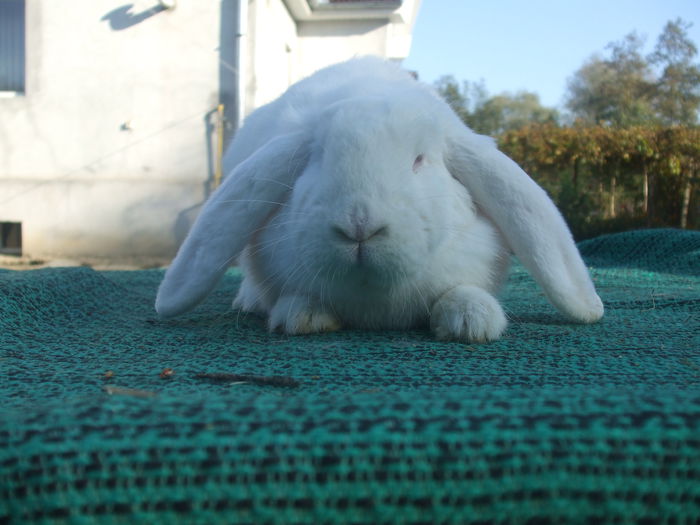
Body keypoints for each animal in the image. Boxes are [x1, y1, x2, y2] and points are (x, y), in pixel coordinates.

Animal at [156, 57, 604, 342]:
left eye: (420, 160)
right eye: (317, 157)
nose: (359, 225)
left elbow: (461, 291)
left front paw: (471, 319)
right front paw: (302, 315)